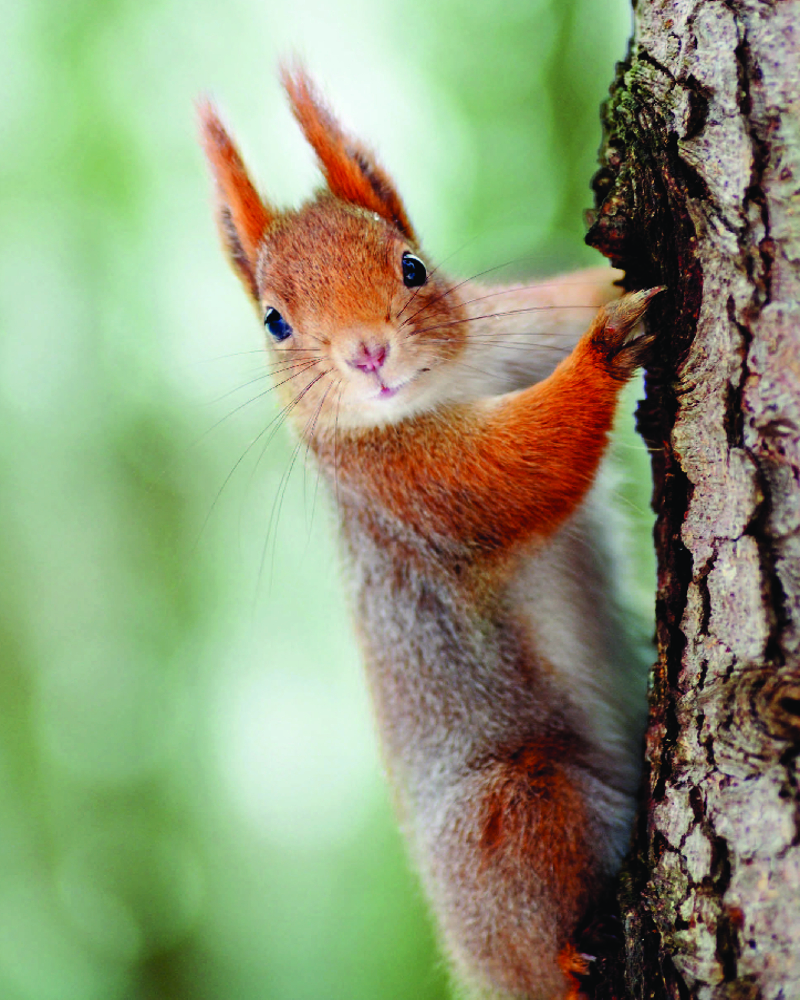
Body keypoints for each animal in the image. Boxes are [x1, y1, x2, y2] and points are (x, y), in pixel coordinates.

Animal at [199, 68, 660, 1000]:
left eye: (412, 266)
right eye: (274, 322)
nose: (368, 354)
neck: (454, 379)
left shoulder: (521, 326)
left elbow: (568, 303)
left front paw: (613, 291)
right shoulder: (410, 484)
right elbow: (515, 474)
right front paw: (605, 351)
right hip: (518, 807)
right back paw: (566, 961)